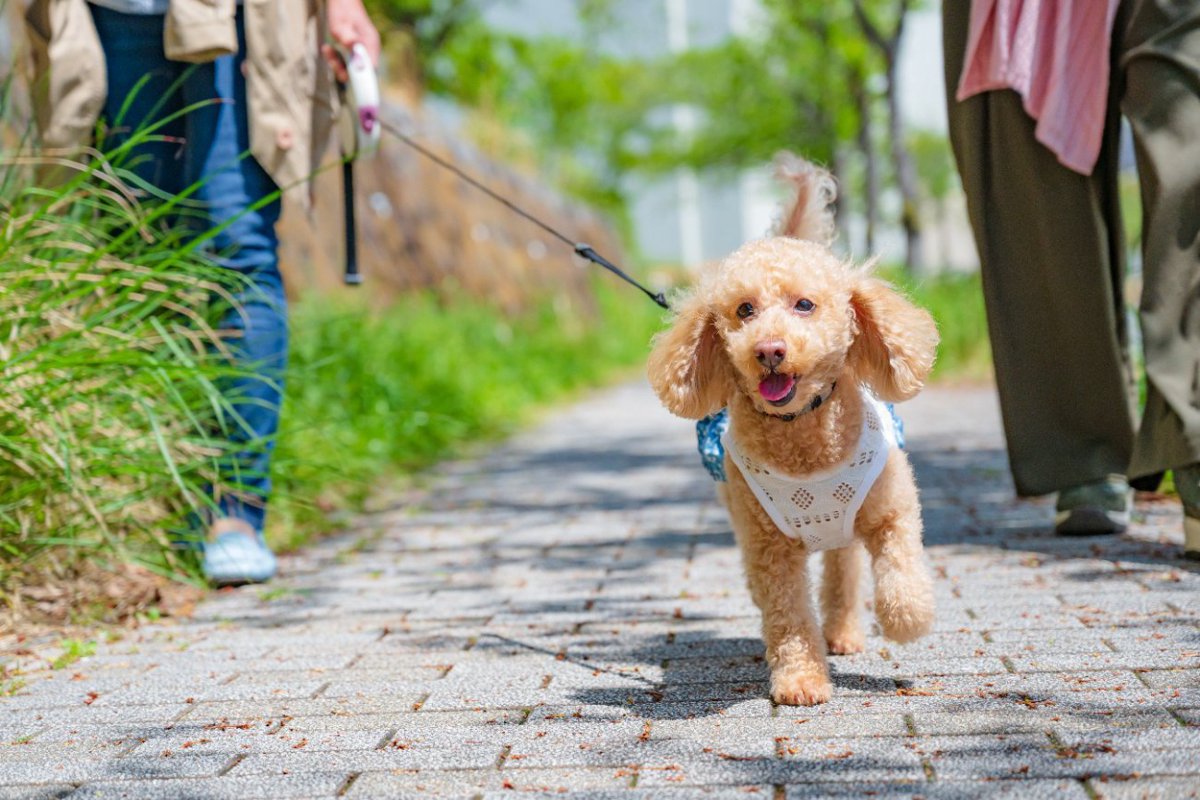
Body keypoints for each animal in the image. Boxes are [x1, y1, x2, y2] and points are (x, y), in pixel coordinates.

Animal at [648, 153, 936, 705]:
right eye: (744, 310)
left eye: (805, 305)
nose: (768, 350)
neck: (804, 437)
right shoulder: (771, 548)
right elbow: (788, 618)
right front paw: (801, 681)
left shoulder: (891, 511)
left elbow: (899, 568)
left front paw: (907, 619)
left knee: (844, 570)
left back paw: (844, 633)